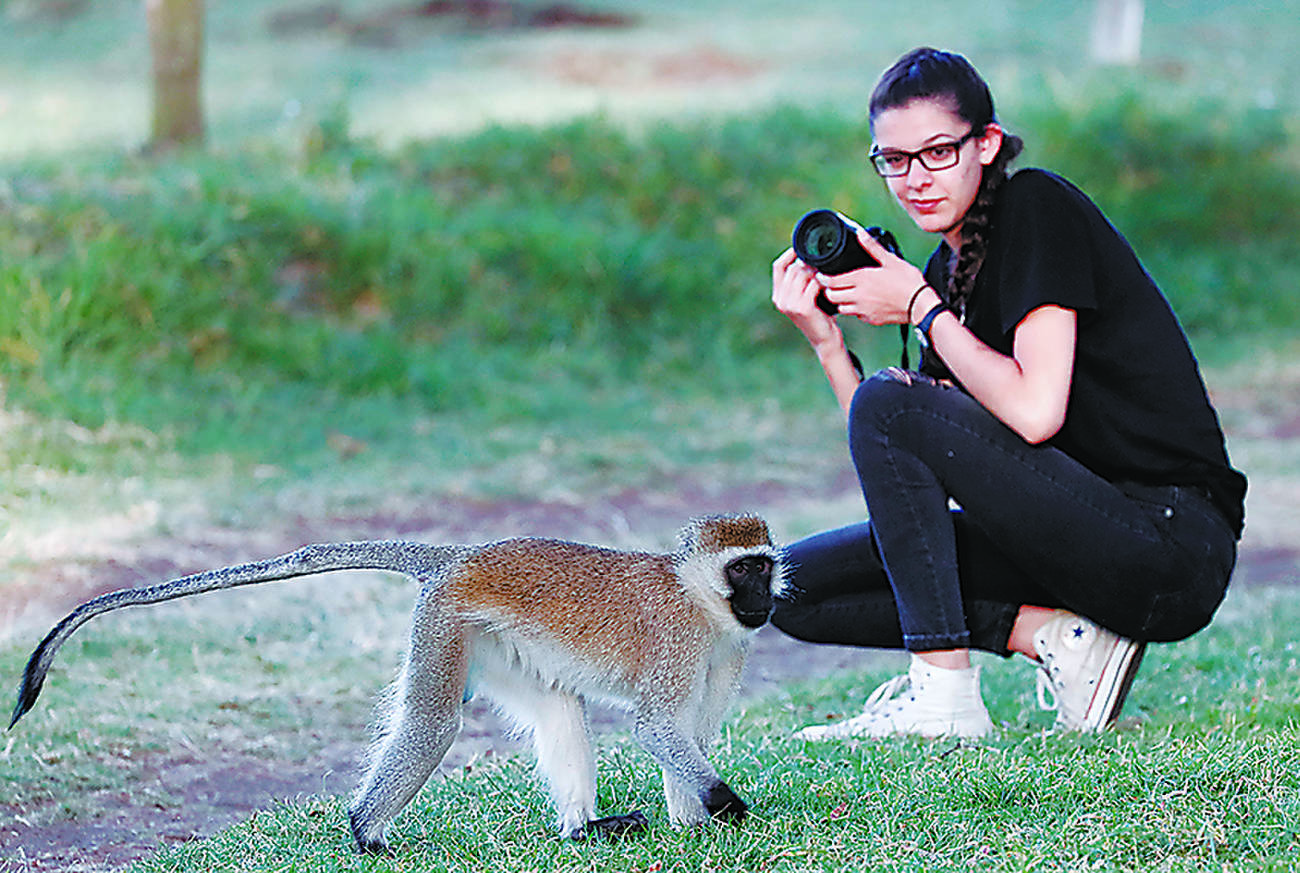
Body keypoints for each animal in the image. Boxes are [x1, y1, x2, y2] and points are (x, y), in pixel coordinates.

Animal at [9, 513, 787, 855]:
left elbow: (687, 733)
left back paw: (582, 828)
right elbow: (658, 728)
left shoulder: (726, 649)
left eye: (765, 564)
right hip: (444, 623)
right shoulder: (678, 640)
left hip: (491, 641)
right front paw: (729, 806)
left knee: (559, 707)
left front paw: (693, 819)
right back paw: (365, 831)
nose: (764, 597)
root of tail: (459, 557)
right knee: (434, 723)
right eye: (742, 568)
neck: (702, 601)